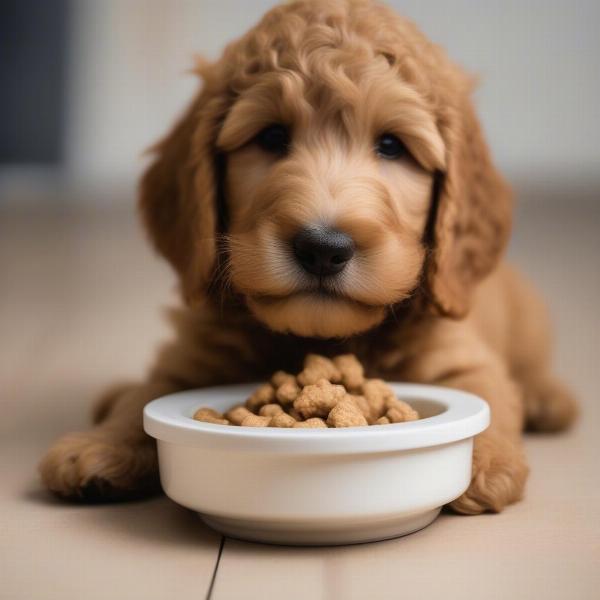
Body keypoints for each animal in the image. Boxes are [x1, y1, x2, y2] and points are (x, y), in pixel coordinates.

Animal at [41, 1, 576, 516]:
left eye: (391, 145)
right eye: (272, 137)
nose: (323, 248)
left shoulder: (457, 354)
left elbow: (490, 398)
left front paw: (484, 464)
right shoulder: (193, 353)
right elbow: (144, 395)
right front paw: (98, 446)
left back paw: (547, 398)